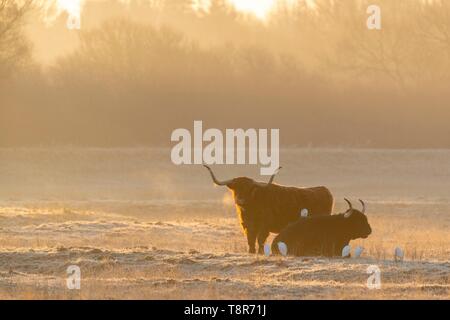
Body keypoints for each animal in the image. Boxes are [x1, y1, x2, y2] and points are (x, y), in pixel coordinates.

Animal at [204, 166, 334, 254]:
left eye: (249, 189)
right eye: (236, 188)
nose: (241, 200)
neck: (250, 210)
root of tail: (324, 189)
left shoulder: (264, 226)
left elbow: (260, 239)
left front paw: (260, 252)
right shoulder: (247, 225)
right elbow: (250, 239)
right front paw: (251, 252)